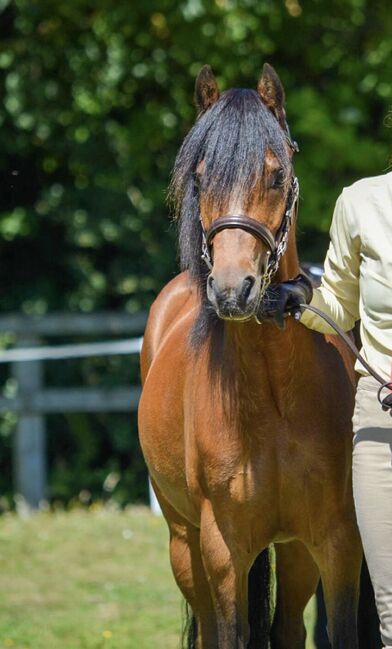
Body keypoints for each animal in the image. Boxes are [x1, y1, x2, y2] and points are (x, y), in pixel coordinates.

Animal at [139, 62, 370, 648]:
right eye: (200, 178)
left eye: (275, 174)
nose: (232, 289)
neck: (273, 397)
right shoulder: (223, 550)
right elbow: (230, 634)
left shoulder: (336, 542)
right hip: (184, 544)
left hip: (293, 554)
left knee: (287, 628)